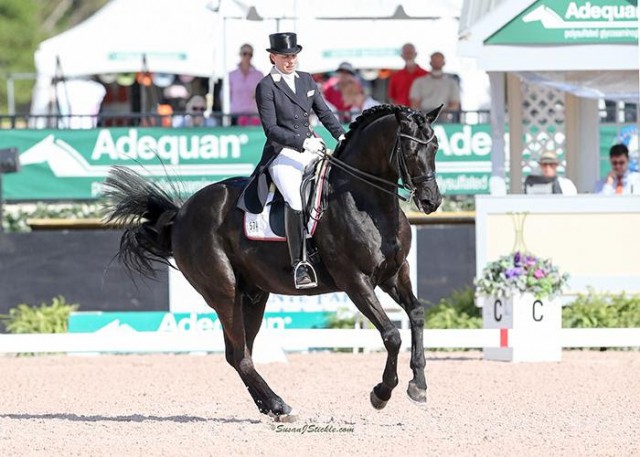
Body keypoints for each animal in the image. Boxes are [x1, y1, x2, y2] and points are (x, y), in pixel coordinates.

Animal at [105, 104, 442, 420]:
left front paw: (419, 385)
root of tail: (181, 213)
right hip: (224, 293)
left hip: (254, 294)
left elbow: (417, 314)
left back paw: (269, 406)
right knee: (239, 354)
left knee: (240, 353)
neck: (367, 202)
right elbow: (392, 335)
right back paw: (279, 405)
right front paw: (381, 393)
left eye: (435, 146)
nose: (431, 201)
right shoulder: (355, 280)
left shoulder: (394, 273)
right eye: (410, 150)